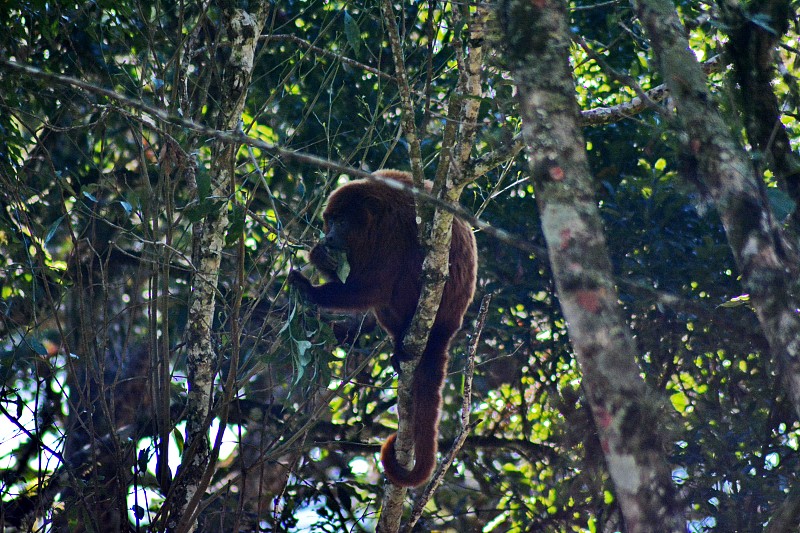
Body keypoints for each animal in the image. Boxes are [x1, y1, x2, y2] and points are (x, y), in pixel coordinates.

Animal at [288, 169, 476, 486]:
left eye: (342, 221)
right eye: (330, 221)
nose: (329, 236)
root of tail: (447, 328)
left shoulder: (395, 230)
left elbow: (373, 286)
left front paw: (308, 287)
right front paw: (321, 256)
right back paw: (399, 344)